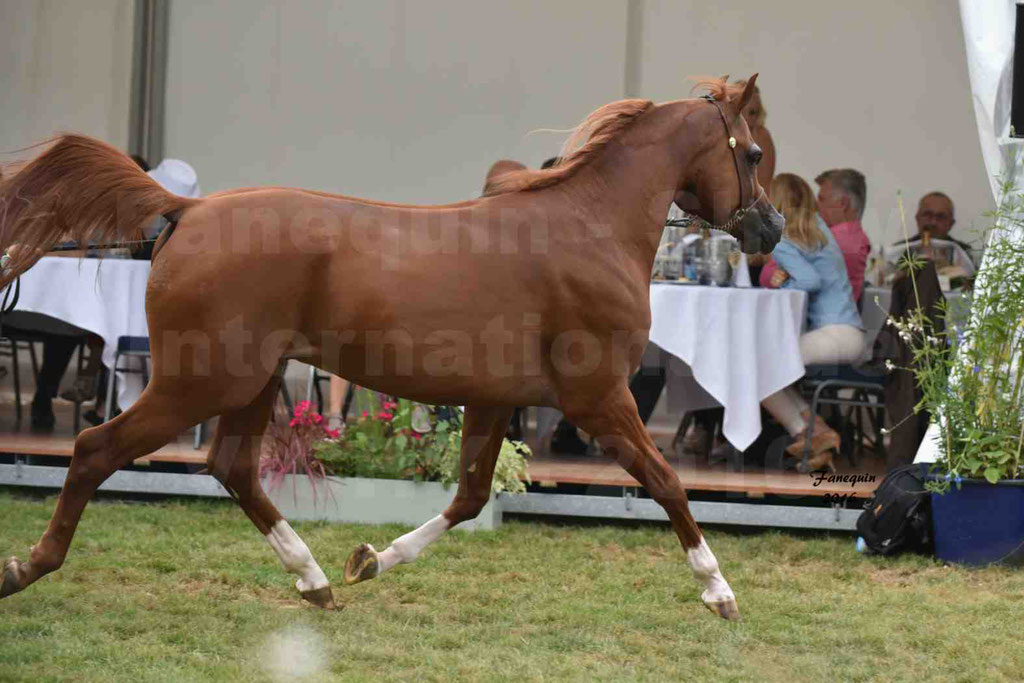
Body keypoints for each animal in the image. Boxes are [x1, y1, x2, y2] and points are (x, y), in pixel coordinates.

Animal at [0, 74, 778, 618]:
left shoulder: (494, 400)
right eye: (754, 151)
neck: (590, 227)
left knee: (232, 468)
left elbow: (468, 497)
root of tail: (185, 210)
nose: (770, 230)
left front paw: (370, 558)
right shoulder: (599, 398)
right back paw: (26, 568)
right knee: (96, 448)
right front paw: (720, 592)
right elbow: (667, 481)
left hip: (251, 380)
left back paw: (315, 580)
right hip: (201, 381)